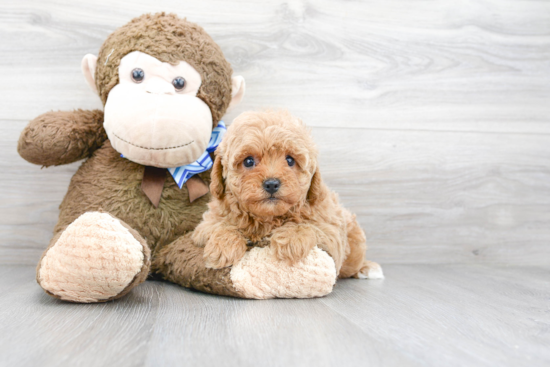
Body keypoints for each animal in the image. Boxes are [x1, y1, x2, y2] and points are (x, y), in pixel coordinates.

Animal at [193, 110, 384, 280]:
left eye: (290, 160)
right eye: (248, 161)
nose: (271, 184)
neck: (268, 218)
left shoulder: (331, 231)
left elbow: (308, 226)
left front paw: (291, 239)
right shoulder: (206, 224)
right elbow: (221, 226)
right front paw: (223, 247)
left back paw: (368, 268)